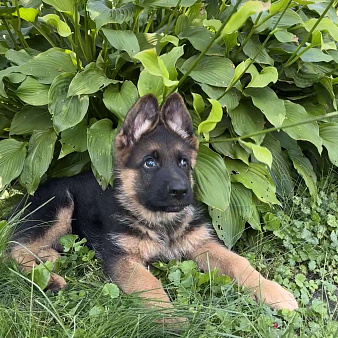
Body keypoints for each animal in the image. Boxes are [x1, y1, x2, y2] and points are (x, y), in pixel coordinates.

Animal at [9, 92, 298, 312]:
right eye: (150, 163)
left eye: (183, 162)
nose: (181, 191)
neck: (161, 220)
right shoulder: (123, 258)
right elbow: (150, 286)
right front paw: (172, 320)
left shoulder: (203, 243)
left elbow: (239, 263)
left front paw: (274, 292)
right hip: (60, 205)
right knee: (13, 250)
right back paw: (48, 280)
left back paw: (48, 258)